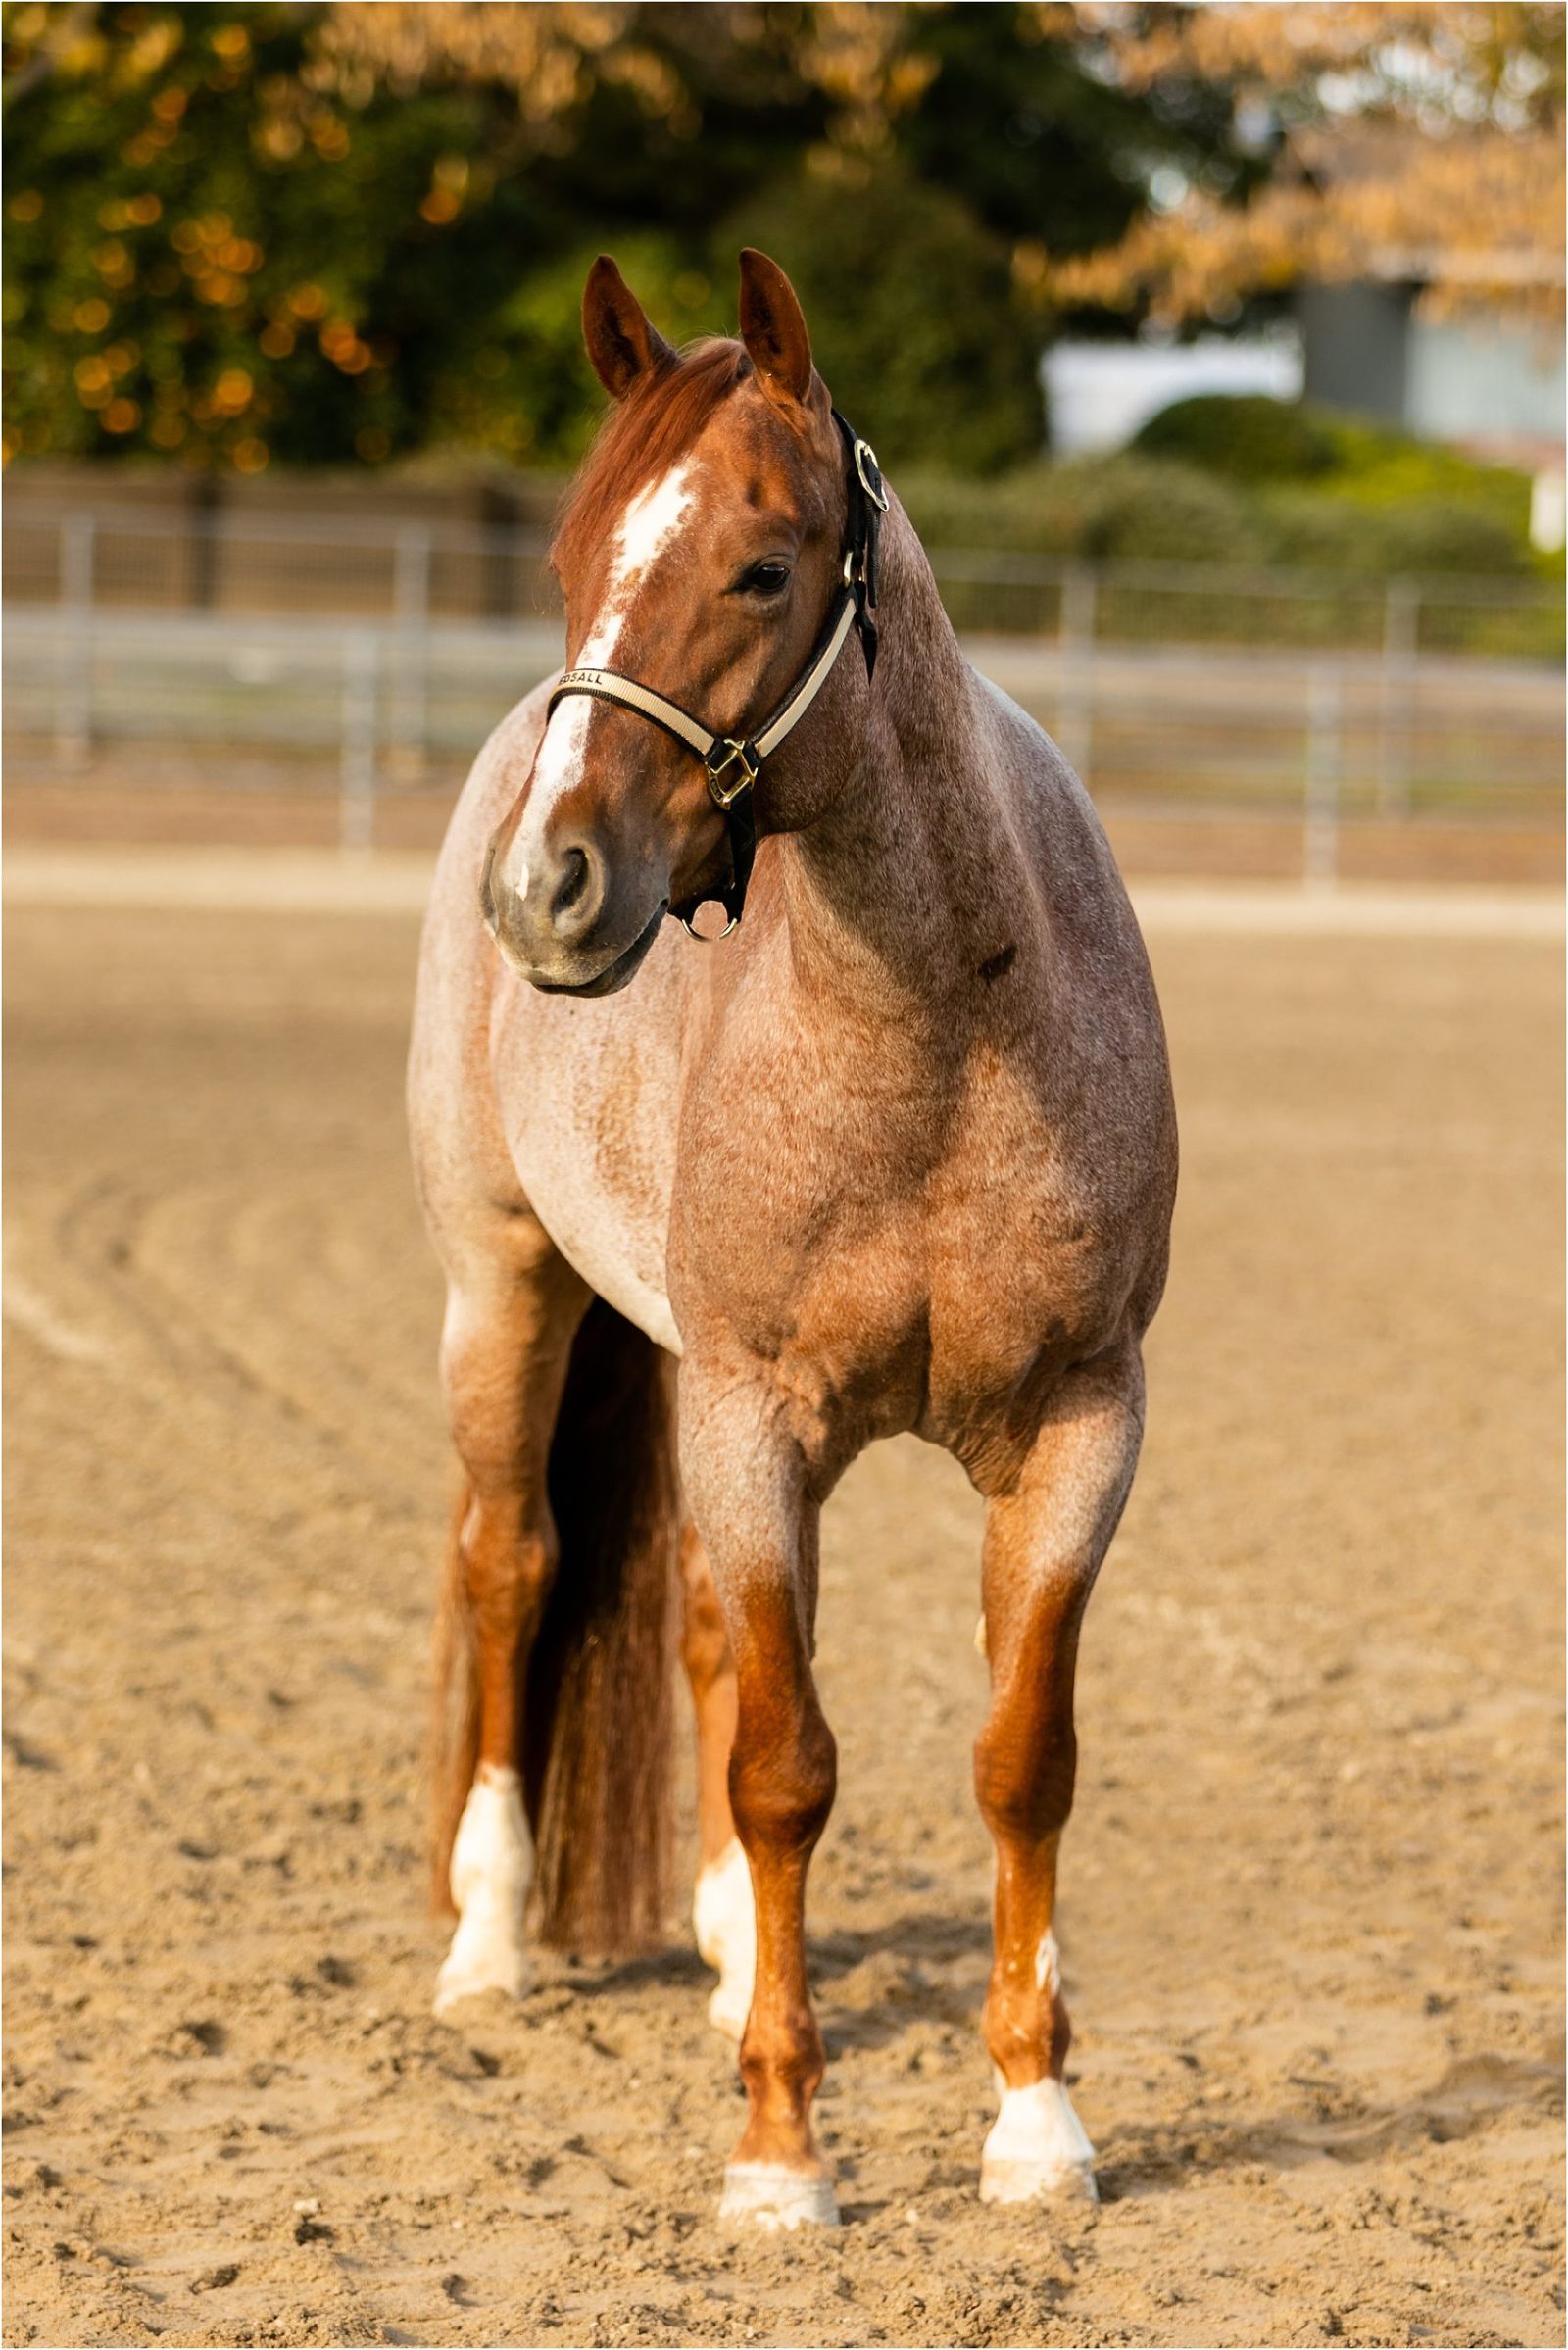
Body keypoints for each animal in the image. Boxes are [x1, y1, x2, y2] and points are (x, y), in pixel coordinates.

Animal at [409, 247, 1175, 2228]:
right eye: (571, 555)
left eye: (761, 566)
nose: (548, 886)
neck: (939, 1038)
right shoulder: (755, 1417)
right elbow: (781, 1767)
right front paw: (779, 2152)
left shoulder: (1078, 1429)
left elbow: (1020, 1760)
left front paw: (1036, 2115)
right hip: (504, 1292)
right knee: (511, 1563)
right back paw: (491, 1939)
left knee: (686, 1617)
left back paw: (730, 1949)